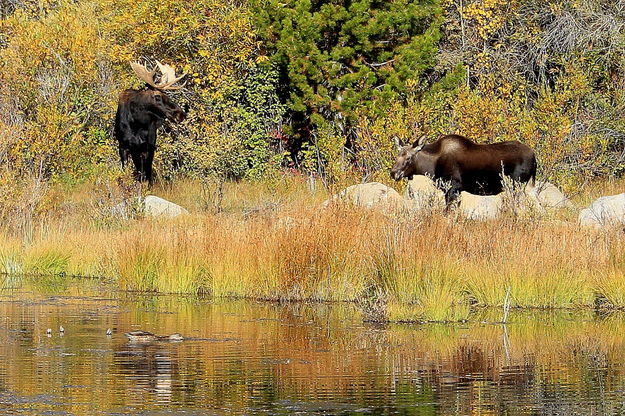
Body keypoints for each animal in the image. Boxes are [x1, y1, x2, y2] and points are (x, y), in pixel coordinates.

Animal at [388, 135, 532, 208]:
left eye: (408, 158)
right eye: (397, 156)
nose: (394, 173)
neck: (432, 166)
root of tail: (534, 157)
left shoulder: (454, 188)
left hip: (516, 187)